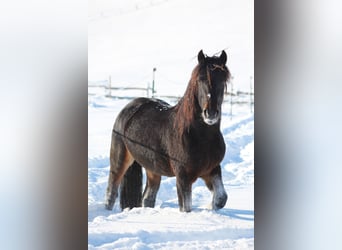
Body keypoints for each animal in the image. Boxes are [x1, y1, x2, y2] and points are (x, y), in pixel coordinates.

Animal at [105, 49, 231, 212]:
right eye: (200, 79)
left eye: (223, 80)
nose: (210, 113)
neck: (201, 137)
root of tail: (129, 108)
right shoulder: (183, 177)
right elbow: (186, 208)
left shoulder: (212, 169)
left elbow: (221, 198)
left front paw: (210, 208)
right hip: (119, 160)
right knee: (111, 192)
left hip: (152, 169)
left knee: (147, 198)